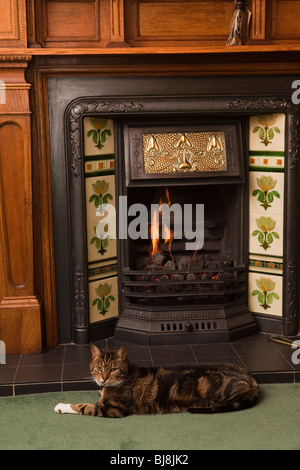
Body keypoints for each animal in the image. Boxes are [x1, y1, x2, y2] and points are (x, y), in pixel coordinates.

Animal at [55, 344, 258, 416]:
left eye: (113, 369)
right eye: (99, 368)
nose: (103, 379)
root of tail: (251, 379)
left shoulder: (112, 408)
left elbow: (82, 406)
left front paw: (61, 406)